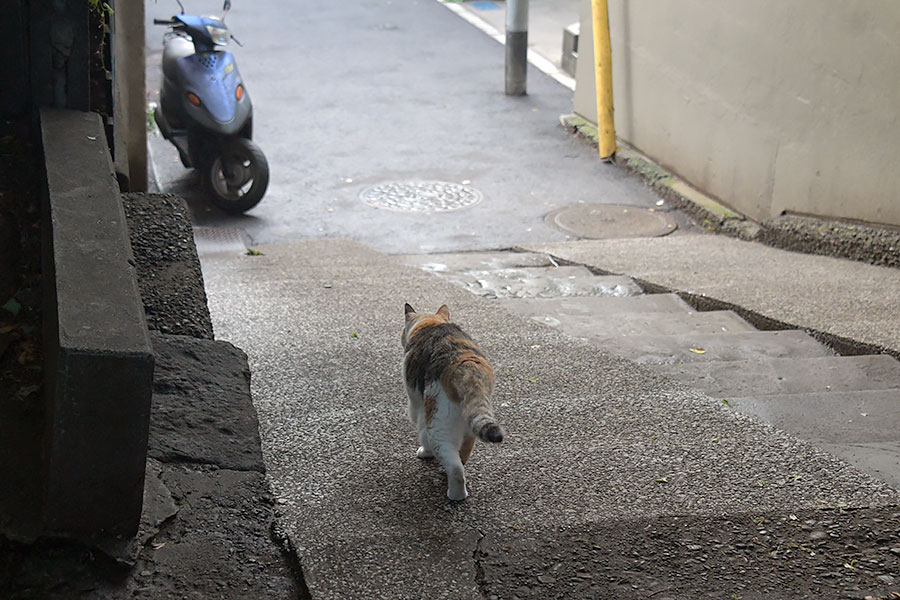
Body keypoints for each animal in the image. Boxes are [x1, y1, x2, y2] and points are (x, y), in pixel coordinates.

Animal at [402, 302, 506, 500]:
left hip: (437, 424)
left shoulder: (416, 403)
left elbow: (420, 429)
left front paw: (424, 453)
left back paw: (455, 496)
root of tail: (466, 365)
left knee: (455, 469)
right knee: (462, 457)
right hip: (470, 426)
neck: (432, 323)